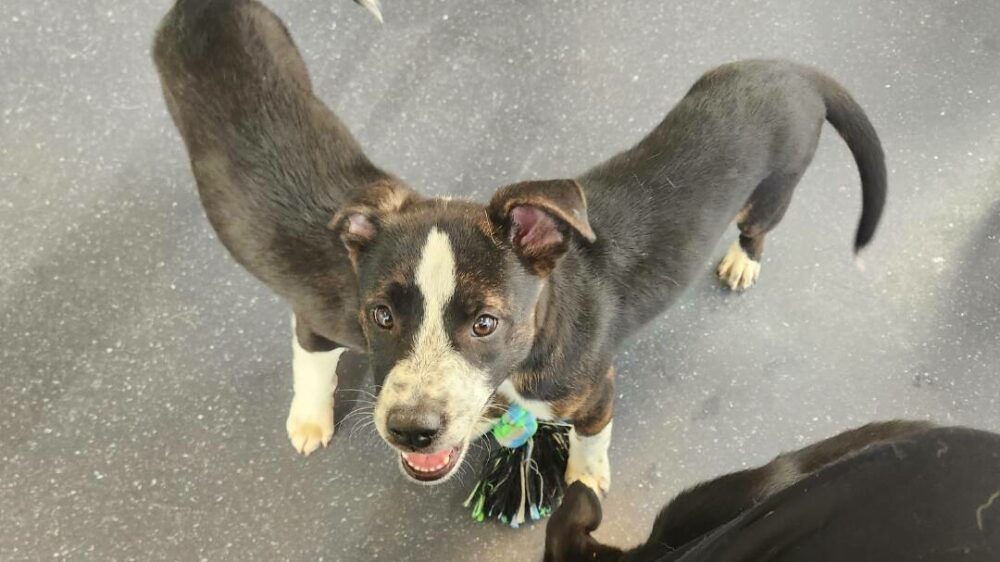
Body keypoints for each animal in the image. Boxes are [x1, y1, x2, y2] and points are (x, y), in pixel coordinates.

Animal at [153, 0, 886, 492]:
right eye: (381, 316)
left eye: (485, 323)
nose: (411, 430)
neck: (537, 339)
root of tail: (798, 70)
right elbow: (313, 363)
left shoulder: (594, 392)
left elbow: (591, 446)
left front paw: (585, 485)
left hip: (776, 185)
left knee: (759, 224)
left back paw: (741, 259)